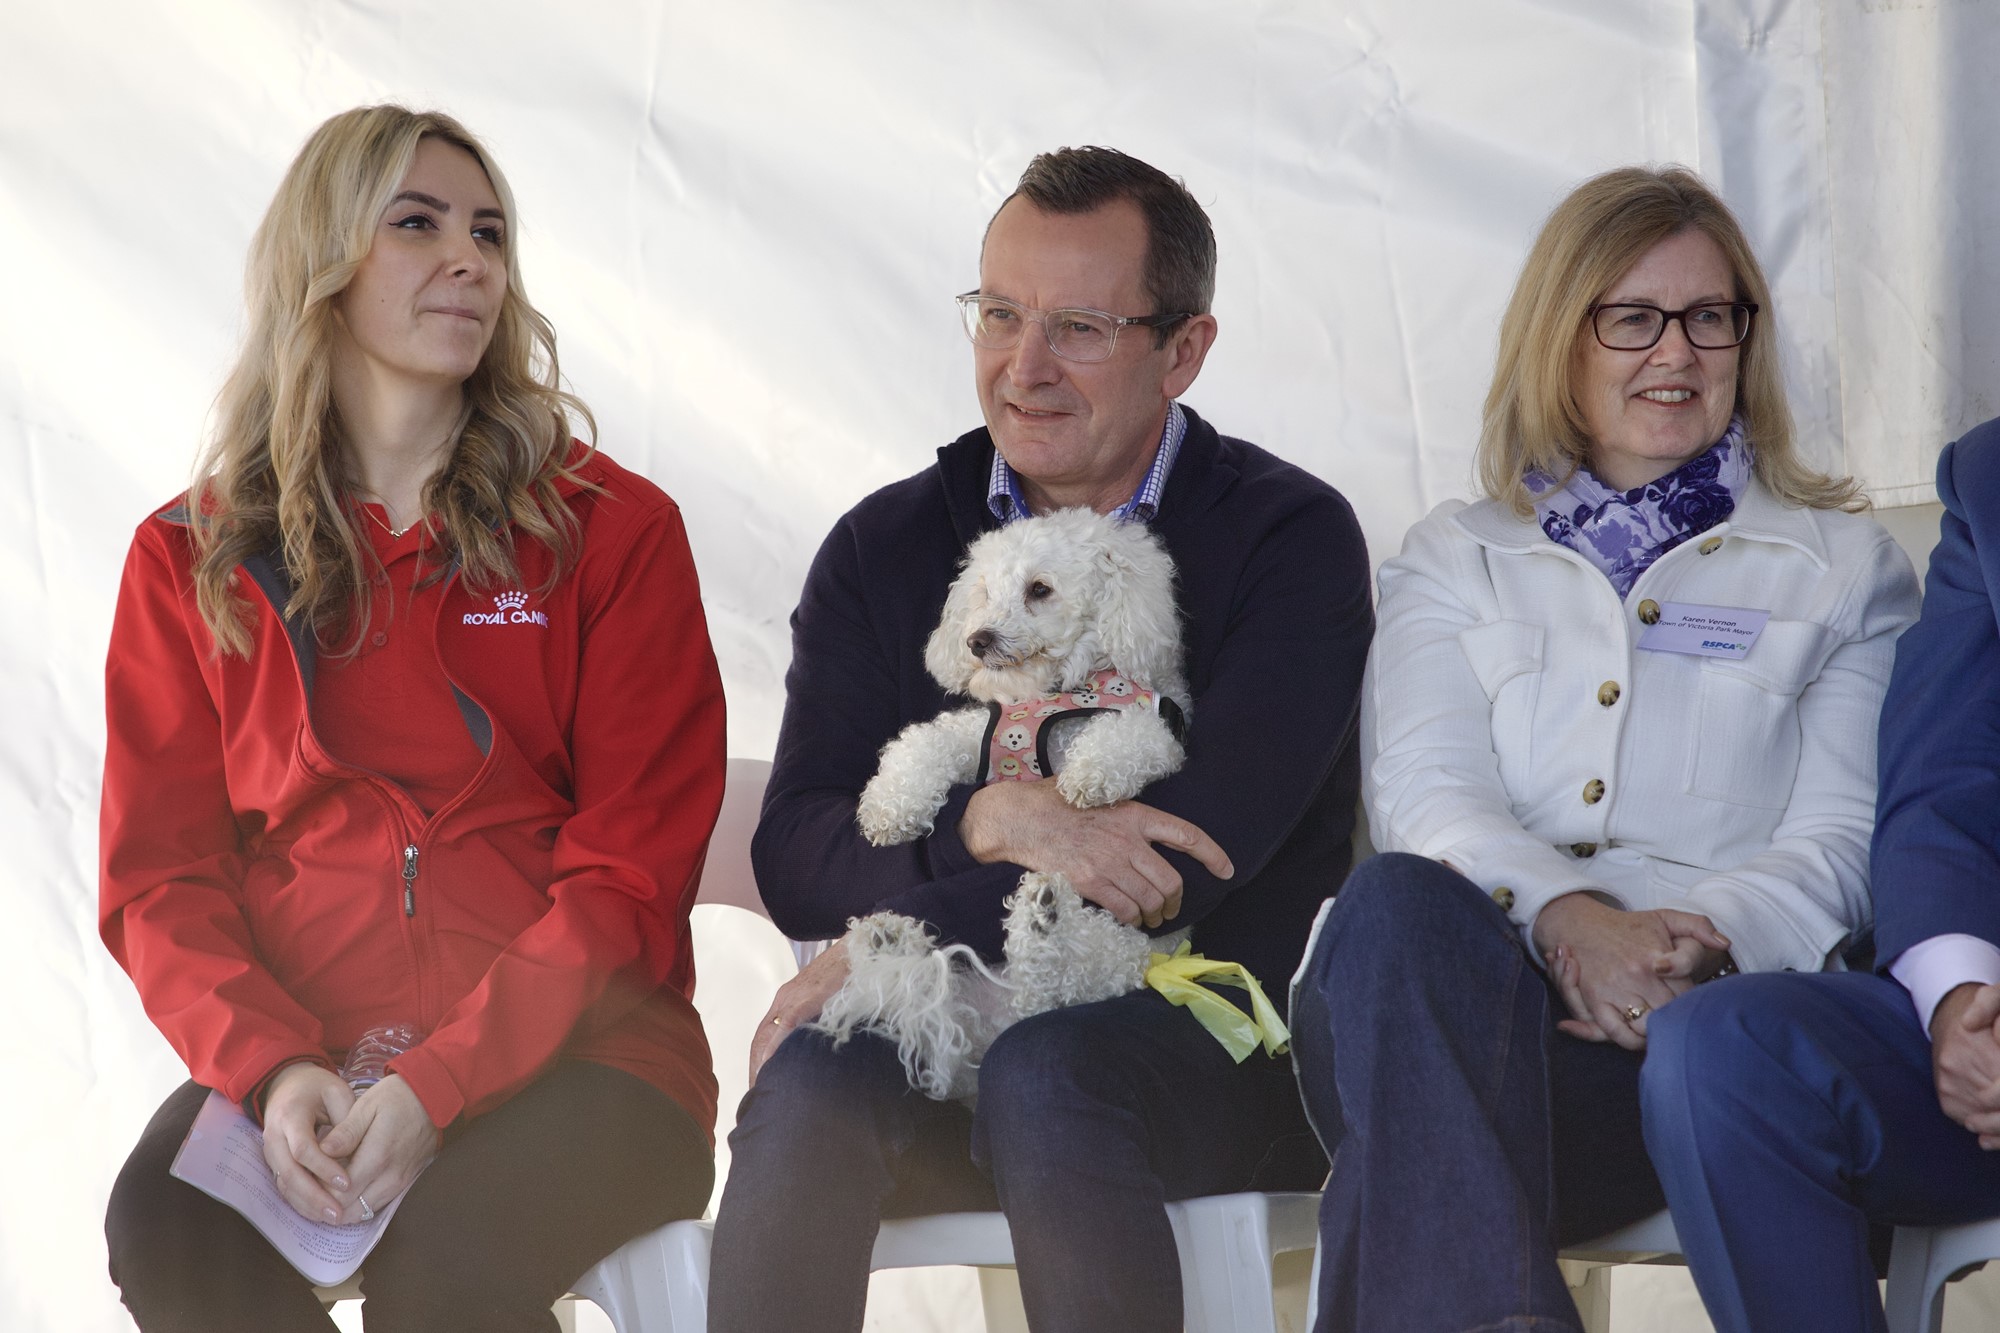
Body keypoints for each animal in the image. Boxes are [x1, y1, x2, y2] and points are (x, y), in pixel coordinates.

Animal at [808, 504, 1184, 1096]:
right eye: (984, 591)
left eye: (1039, 589)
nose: (977, 640)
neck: (1053, 695)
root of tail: (993, 1029)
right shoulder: (983, 736)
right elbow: (923, 742)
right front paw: (890, 806)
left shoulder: (1161, 733)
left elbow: (1128, 738)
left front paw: (1092, 773)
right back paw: (892, 941)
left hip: (1128, 955)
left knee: (1064, 976)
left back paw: (1044, 922)